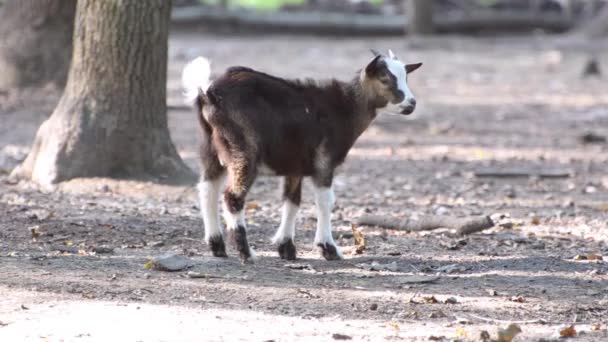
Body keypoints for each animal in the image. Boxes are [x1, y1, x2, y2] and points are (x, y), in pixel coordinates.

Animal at [183, 48, 422, 262]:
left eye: (406, 77)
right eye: (385, 78)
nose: (411, 104)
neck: (344, 109)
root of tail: (207, 94)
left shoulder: (295, 165)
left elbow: (292, 202)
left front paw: (286, 248)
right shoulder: (324, 161)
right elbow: (326, 201)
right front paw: (329, 249)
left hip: (211, 148)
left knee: (207, 189)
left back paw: (217, 246)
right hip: (244, 148)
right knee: (232, 196)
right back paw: (246, 253)